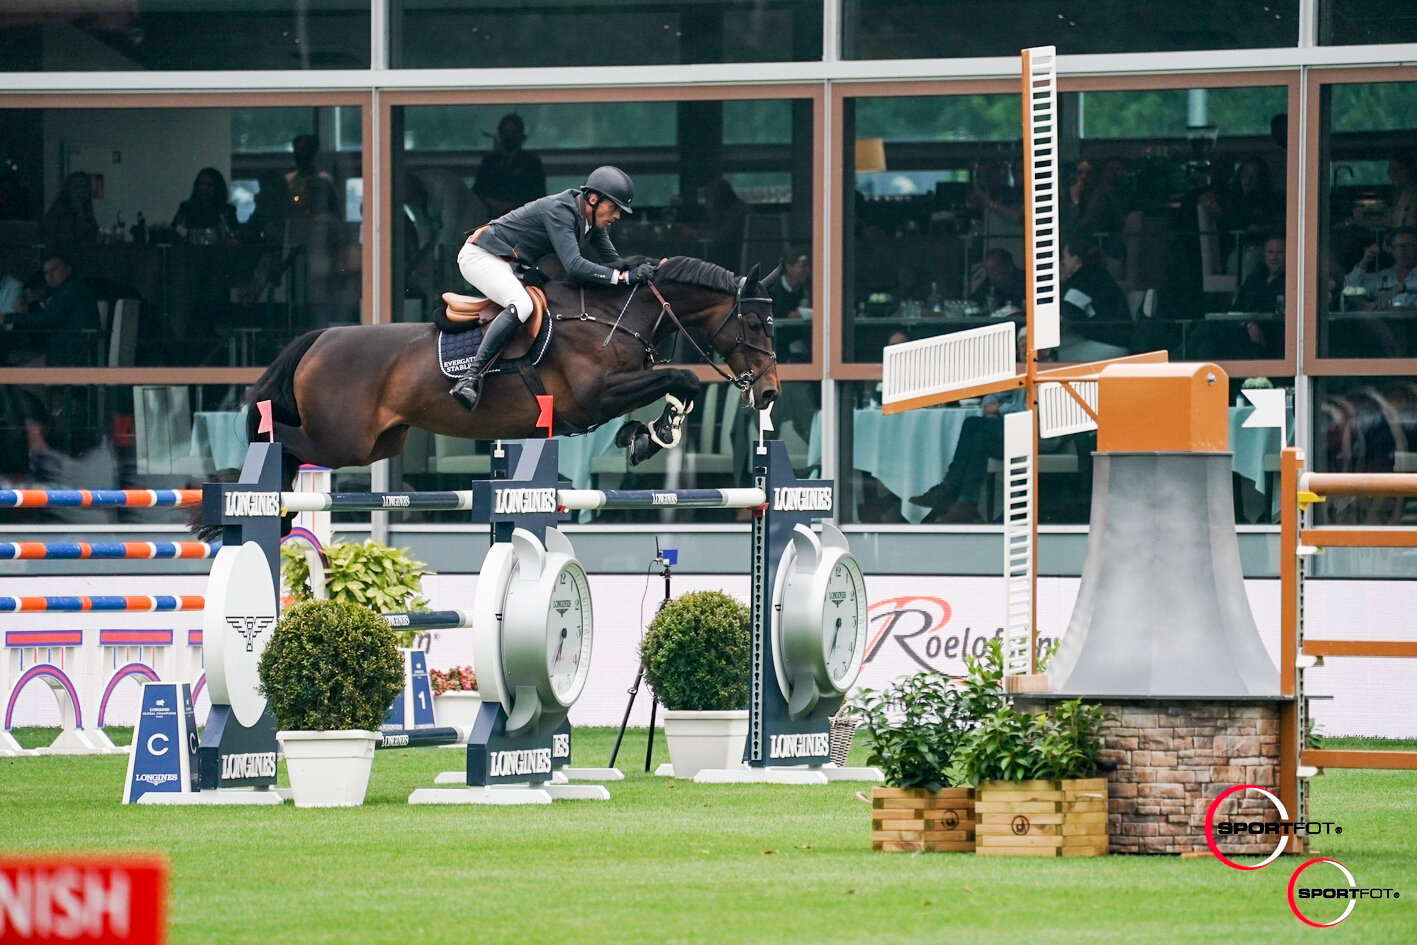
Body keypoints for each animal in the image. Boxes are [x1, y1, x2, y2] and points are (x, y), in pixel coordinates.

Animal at [239, 255, 782, 498]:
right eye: (756, 323)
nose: (770, 392)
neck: (614, 314)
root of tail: (319, 339)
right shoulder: (595, 395)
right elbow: (683, 378)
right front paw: (654, 433)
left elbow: (676, 387)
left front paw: (646, 435)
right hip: (341, 441)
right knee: (280, 439)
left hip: (382, 442)